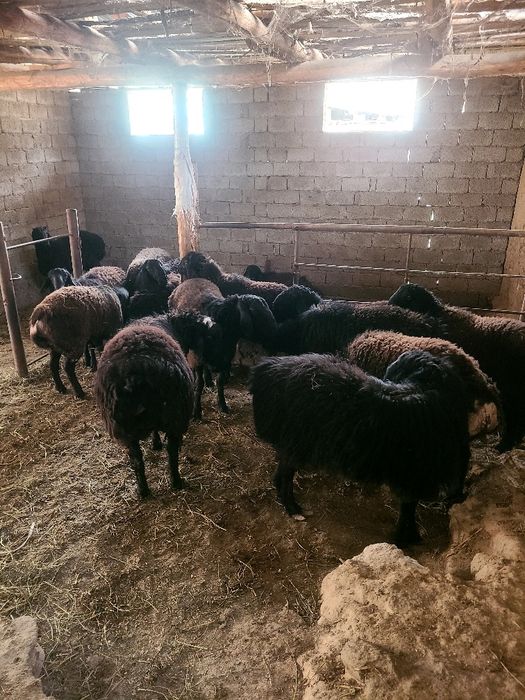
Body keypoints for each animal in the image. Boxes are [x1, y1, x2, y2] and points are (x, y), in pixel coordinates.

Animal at [95, 322, 194, 498]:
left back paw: (145, 490)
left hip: (127, 427)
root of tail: (134, 376)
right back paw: (173, 483)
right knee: (171, 454)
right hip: (175, 416)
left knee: (139, 460)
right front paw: (156, 443)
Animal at [250, 350, 472, 545]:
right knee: (284, 475)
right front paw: (407, 538)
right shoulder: (413, 475)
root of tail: (268, 368)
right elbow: (409, 507)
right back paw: (293, 508)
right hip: (295, 441)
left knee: (282, 473)